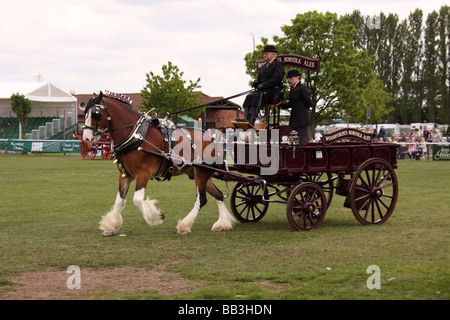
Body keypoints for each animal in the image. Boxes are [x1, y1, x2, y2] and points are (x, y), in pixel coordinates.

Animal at [81, 91, 236, 236]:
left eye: (95, 113)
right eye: (85, 113)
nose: (87, 138)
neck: (136, 135)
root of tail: (214, 140)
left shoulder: (143, 173)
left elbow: (137, 200)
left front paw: (156, 215)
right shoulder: (126, 174)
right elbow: (119, 200)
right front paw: (111, 226)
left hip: (202, 173)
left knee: (201, 199)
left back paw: (185, 225)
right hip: (200, 173)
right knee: (218, 195)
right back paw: (222, 223)